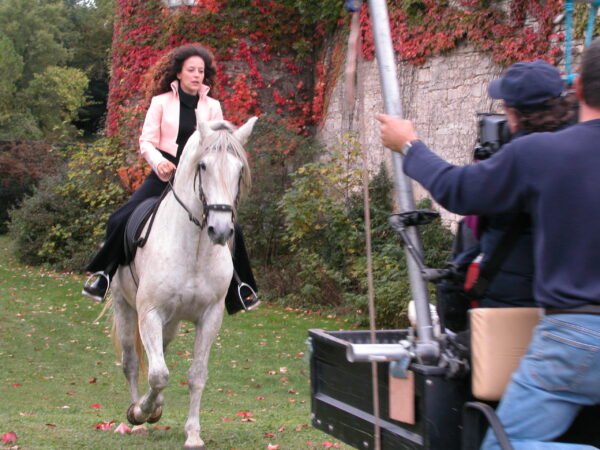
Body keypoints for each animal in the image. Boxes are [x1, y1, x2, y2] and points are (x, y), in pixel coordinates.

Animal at [110, 117, 255, 450]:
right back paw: (139, 417)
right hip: (126, 308)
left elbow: (196, 375)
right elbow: (159, 374)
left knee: (156, 355)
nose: (220, 230)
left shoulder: (210, 317)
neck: (195, 250)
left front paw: (193, 434)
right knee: (132, 362)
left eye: (239, 169)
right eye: (203, 165)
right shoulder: (149, 313)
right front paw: (142, 411)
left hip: (171, 323)